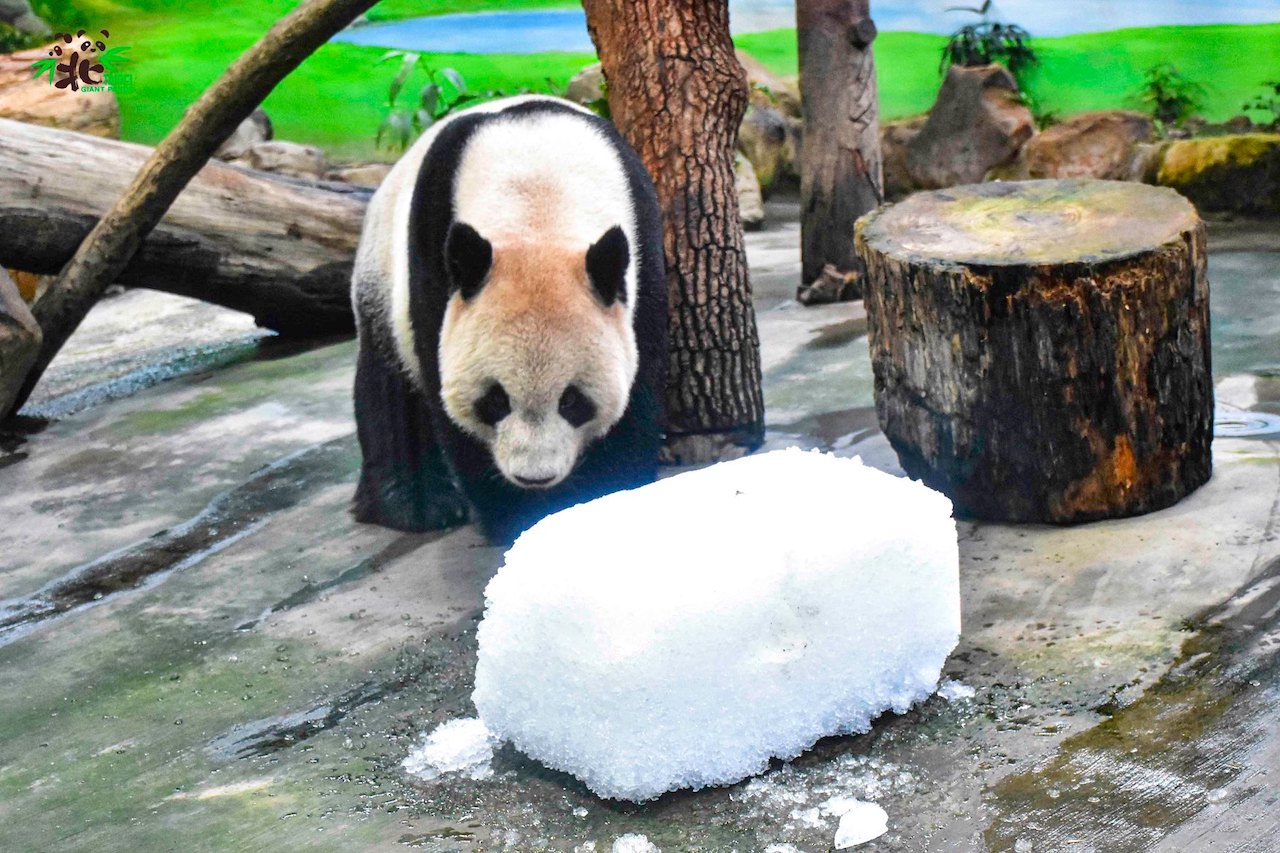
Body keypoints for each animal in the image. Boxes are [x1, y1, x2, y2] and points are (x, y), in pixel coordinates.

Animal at [350, 95, 667, 544]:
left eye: (573, 401)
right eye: (495, 400)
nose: (535, 477)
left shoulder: (640, 246)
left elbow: (635, 386)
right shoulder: (432, 246)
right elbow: (445, 391)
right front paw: (520, 518)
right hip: (381, 273)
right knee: (391, 388)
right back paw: (416, 504)